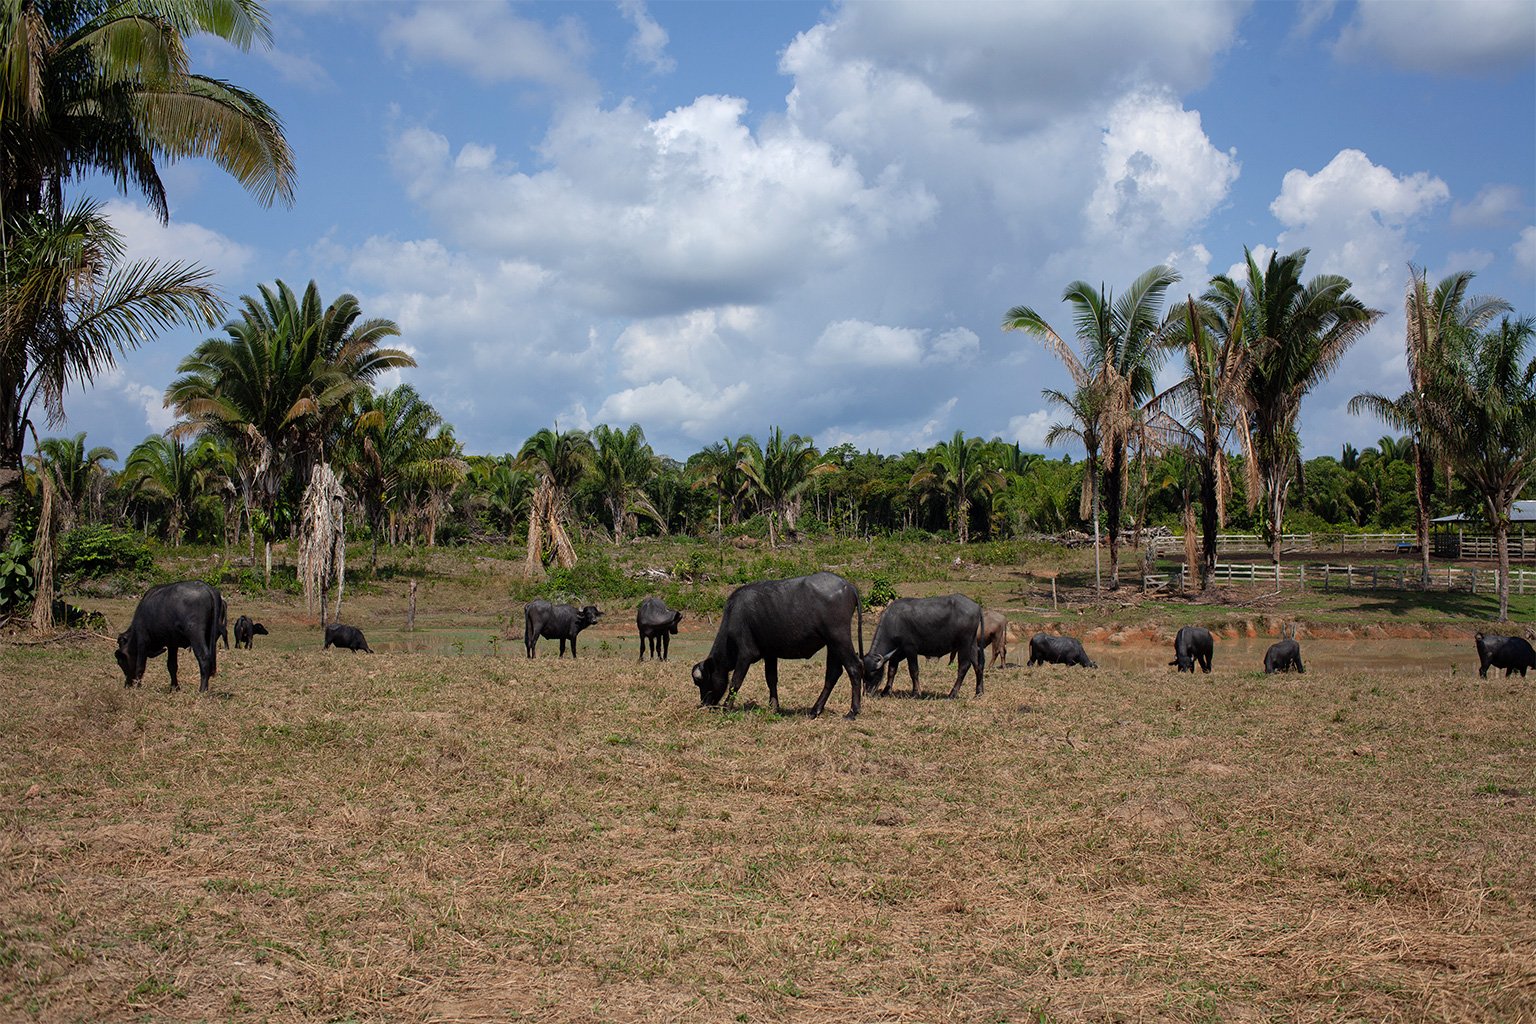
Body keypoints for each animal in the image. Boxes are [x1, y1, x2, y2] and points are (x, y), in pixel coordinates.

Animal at [694, 574, 866, 718]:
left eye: (702, 681)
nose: (704, 704)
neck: (733, 616)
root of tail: (848, 586)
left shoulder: (745, 655)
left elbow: (735, 682)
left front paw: (727, 707)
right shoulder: (770, 654)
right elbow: (771, 679)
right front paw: (774, 707)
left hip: (839, 637)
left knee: (854, 667)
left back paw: (852, 712)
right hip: (832, 644)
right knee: (833, 673)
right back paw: (815, 710)